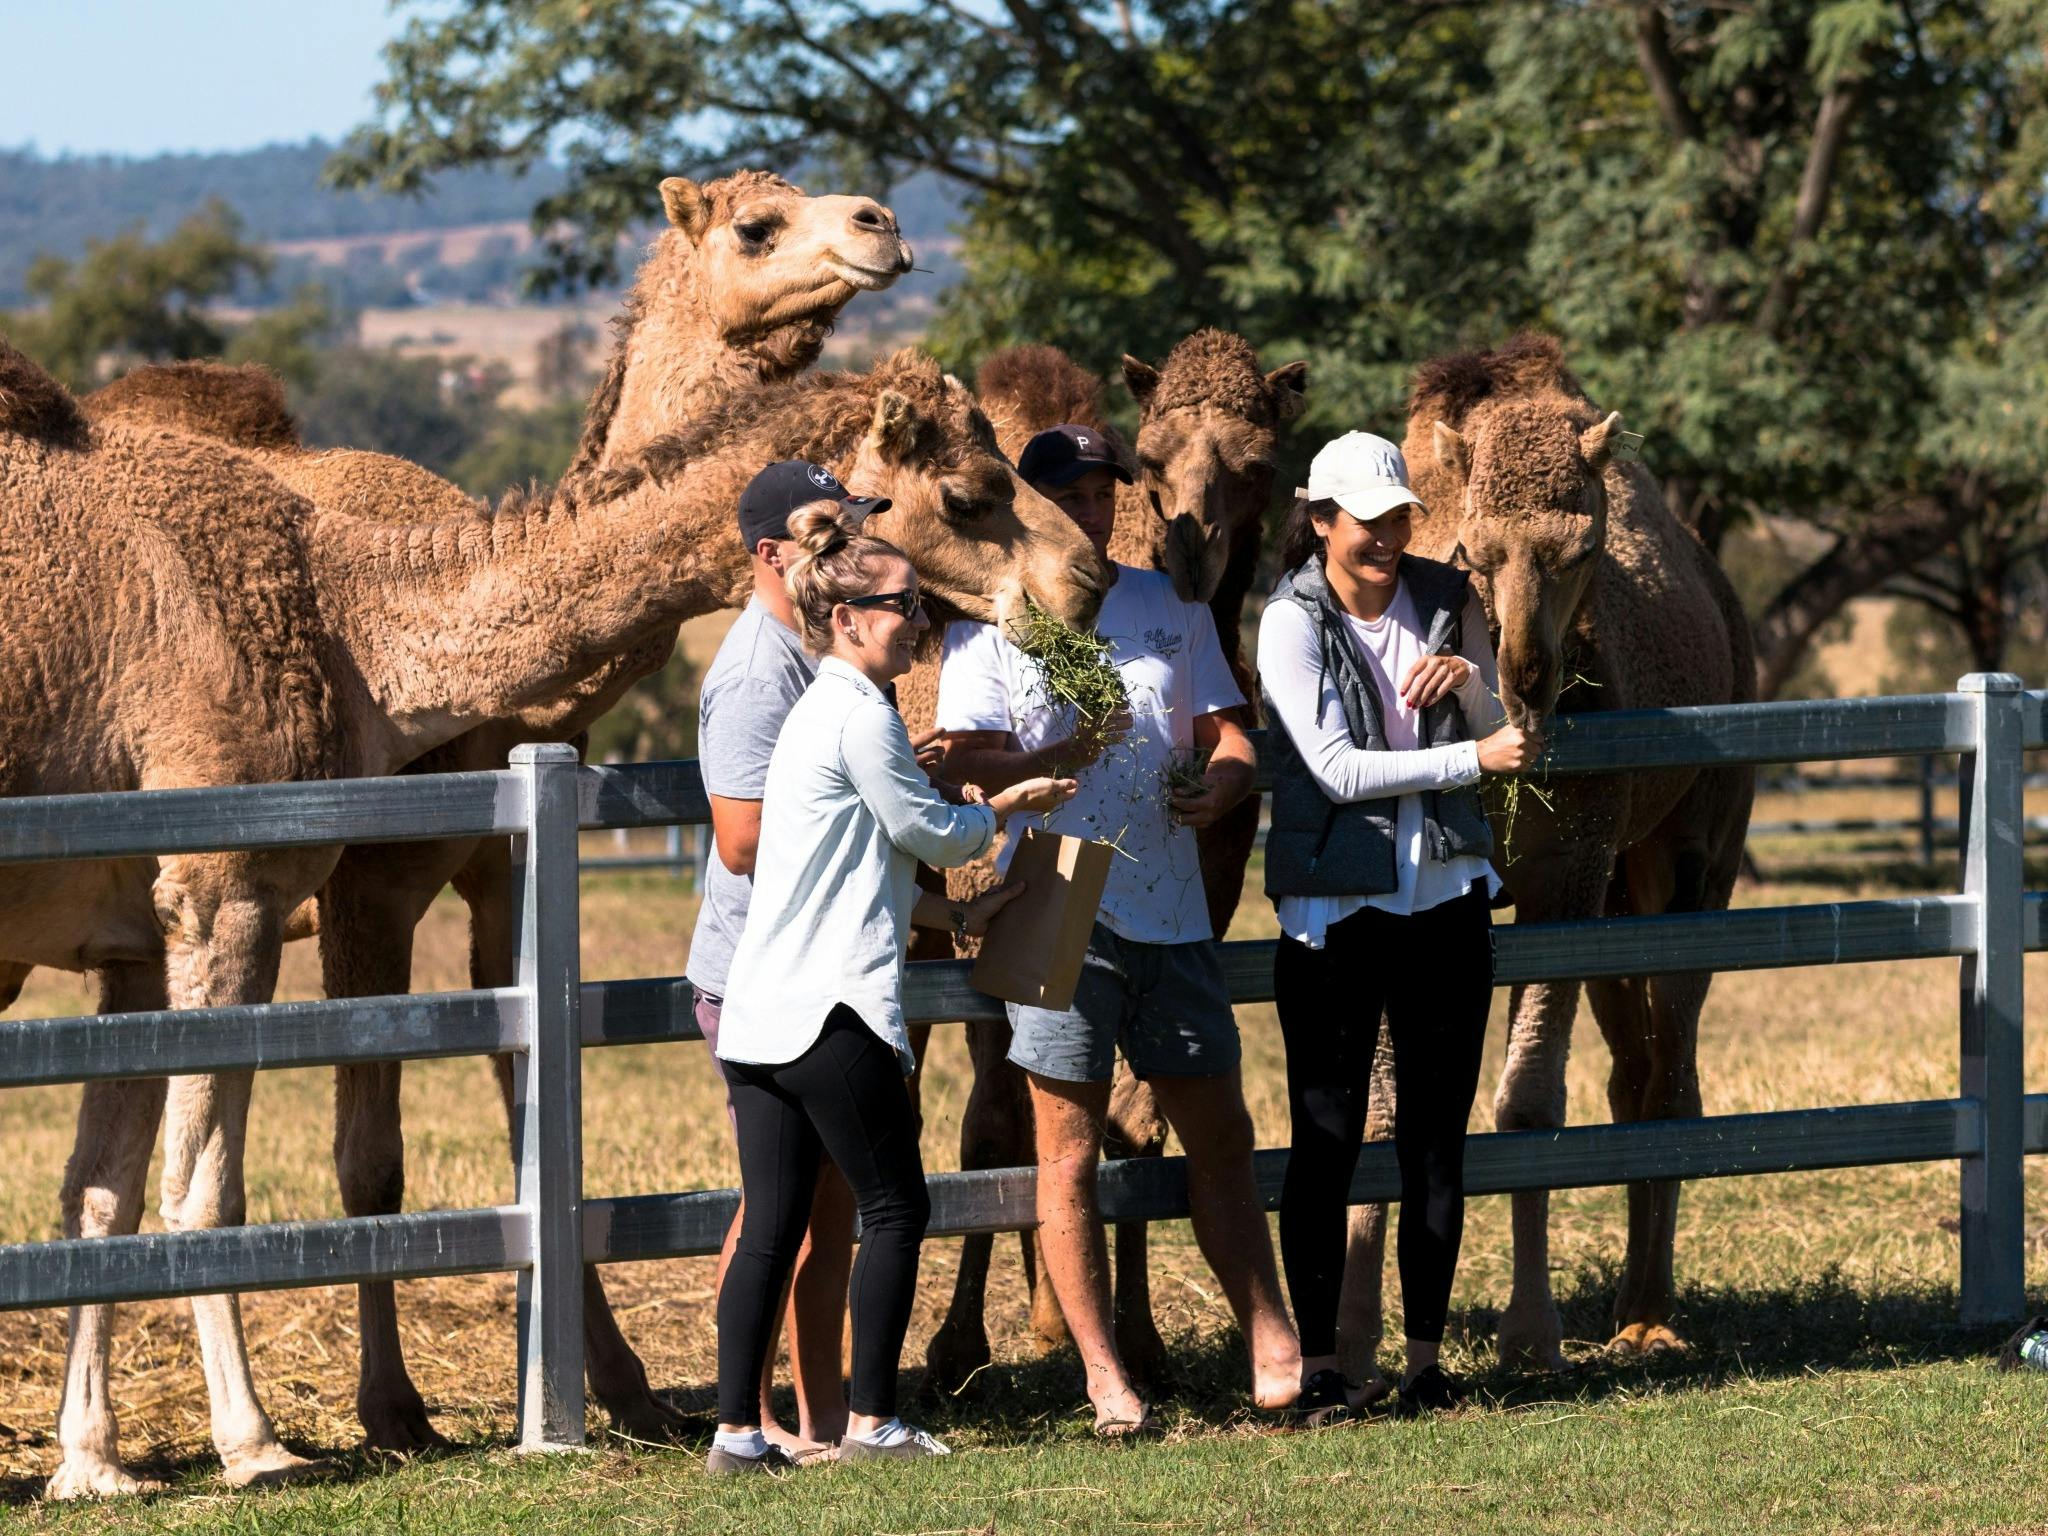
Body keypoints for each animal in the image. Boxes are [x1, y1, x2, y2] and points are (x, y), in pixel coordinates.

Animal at [0, 335, 1107, 1498]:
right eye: (969, 493)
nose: (1086, 580)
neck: (345, 617)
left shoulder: (132, 936)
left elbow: (102, 1193)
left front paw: (91, 1462)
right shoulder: (227, 888)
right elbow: (203, 1188)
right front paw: (253, 1446)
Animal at [79, 169, 918, 1450]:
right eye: (755, 225)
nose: (881, 225)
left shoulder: (504, 866)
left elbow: (533, 1091)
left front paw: (617, 1381)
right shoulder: (368, 889)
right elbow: (369, 1159)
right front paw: (392, 1406)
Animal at [1332, 334, 1755, 1377]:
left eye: (1584, 550)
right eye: (1473, 552)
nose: (1527, 676)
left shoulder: (1564, 876)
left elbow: (1526, 1105)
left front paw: (1530, 1332)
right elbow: (1385, 1109)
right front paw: (1355, 1340)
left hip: (1696, 853)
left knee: (1672, 1069)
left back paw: (1649, 1313)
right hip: (1619, 891)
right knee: (1632, 1072)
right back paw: (1635, 1305)